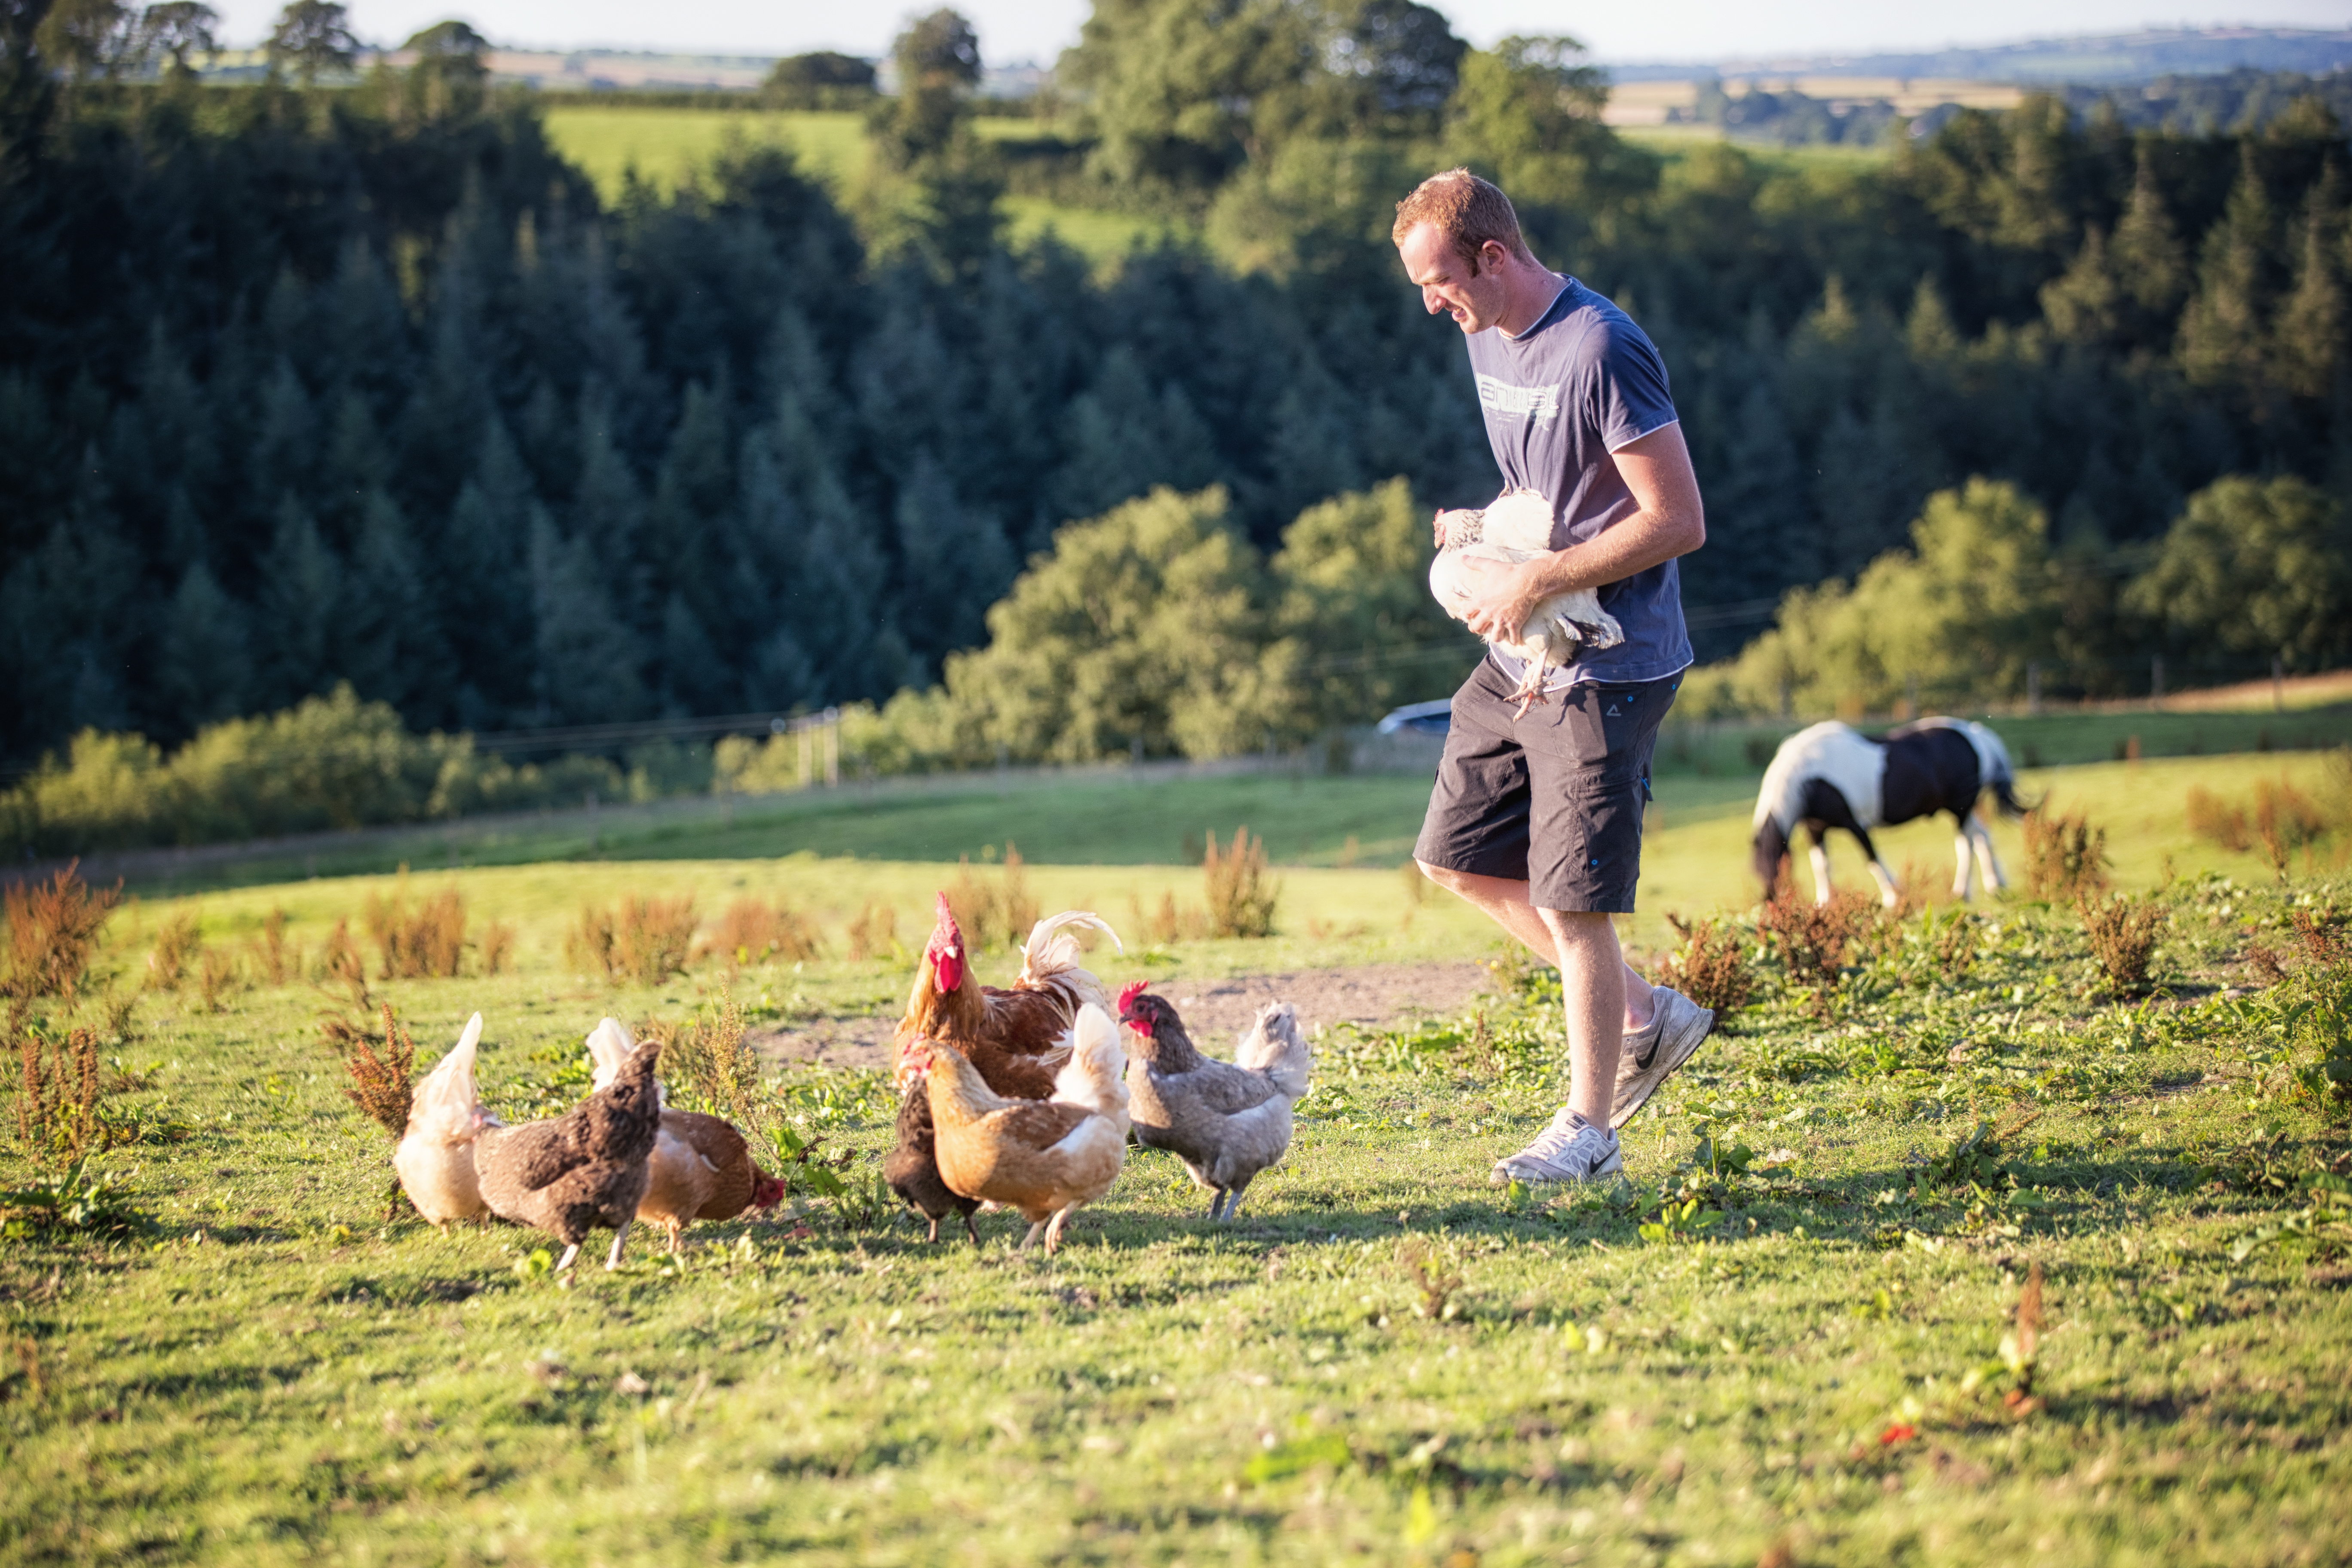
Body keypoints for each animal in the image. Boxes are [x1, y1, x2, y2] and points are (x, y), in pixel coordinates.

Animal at [1759, 714, 2032, 907]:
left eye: (1776, 878)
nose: (1772, 907)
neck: (1808, 778)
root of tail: (1976, 734)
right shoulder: (1815, 828)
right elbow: (1821, 866)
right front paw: (1823, 904)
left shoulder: (1854, 824)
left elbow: (1872, 859)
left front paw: (1894, 896)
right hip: (1964, 808)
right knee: (1983, 836)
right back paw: (1995, 885)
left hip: (1960, 808)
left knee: (1966, 844)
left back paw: (1961, 891)